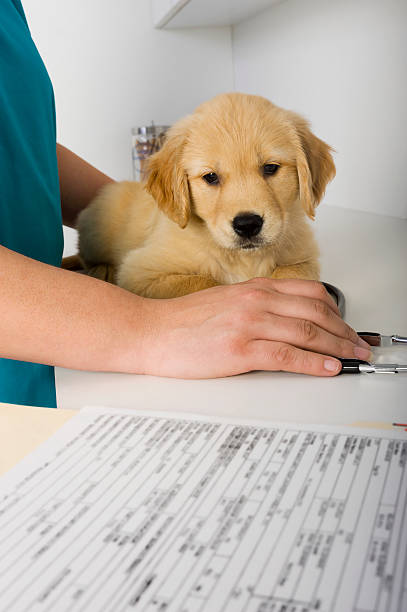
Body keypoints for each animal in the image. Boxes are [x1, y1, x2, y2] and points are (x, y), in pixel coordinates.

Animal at [77, 92, 334, 298]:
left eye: (270, 168)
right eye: (210, 177)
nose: (247, 225)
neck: (241, 257)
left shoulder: (304, 258)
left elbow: (293, 274)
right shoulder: (139, 272)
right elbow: (207, 284)